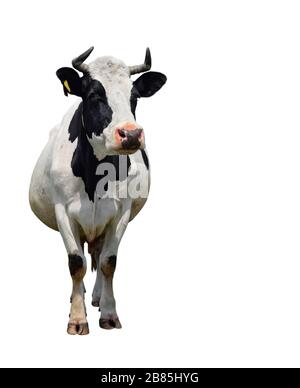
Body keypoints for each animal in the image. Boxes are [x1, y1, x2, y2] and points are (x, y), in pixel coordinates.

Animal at [29, 47, 166, 334]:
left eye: (134, 97)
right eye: (94, 95)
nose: (131, 135)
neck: (94, 176)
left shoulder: (120, 212)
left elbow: (108, 262)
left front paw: (109, 313)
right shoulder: (63, 212)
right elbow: (76, 263)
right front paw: (77, 318)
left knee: (98, 253)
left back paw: (97, 298)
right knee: (83, 255)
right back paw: (79, 296)